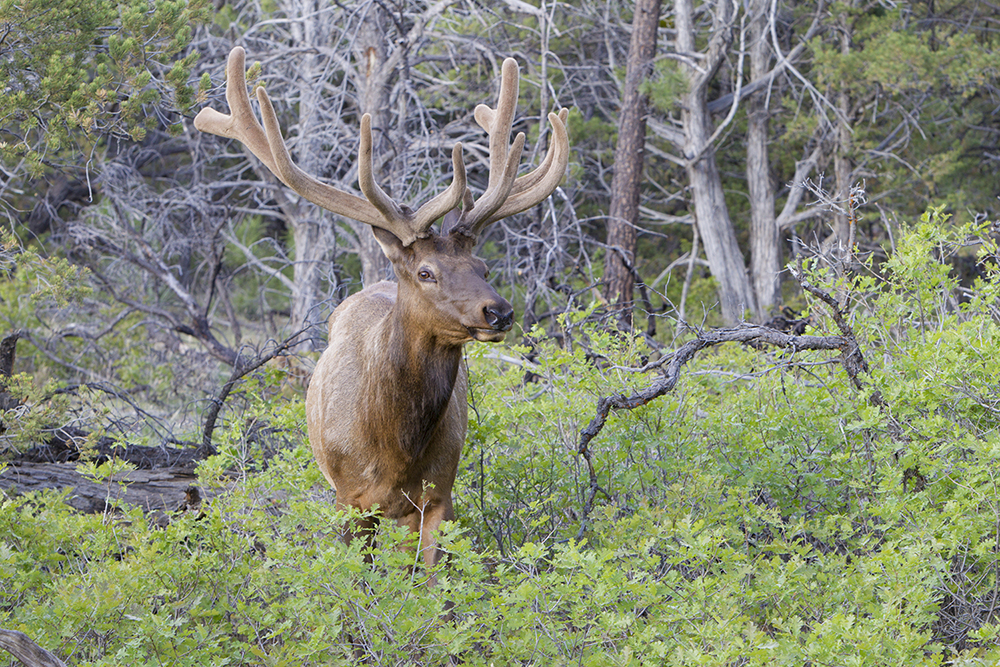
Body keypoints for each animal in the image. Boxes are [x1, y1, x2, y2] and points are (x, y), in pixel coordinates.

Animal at [195, 45, 572, 568]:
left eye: (481, 265)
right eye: (426, 272)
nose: (498, 312)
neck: (395, 447)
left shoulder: (439, 493)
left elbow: (432, 578)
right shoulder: (349, 499)